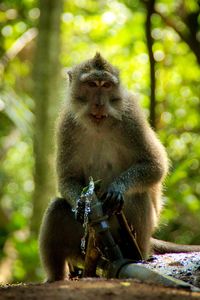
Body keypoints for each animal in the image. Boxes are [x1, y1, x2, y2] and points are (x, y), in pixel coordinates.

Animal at [39, 52, 200, 282]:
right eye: (91, 84)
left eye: (106, 85)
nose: (99, 104)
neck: (99, 125)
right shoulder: (66, 125)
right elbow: (67, 178)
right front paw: (82, 203)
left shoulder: (132, 118)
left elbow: (155, 164)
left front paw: (117, 188)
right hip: (85, 243)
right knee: (57, 208)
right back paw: (56, 277)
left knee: (137, 196)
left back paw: (136, 255)